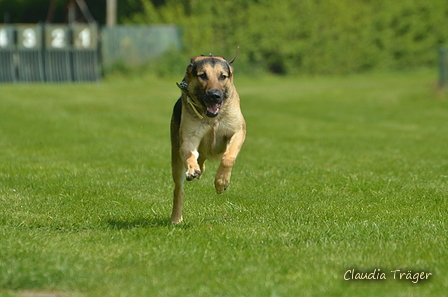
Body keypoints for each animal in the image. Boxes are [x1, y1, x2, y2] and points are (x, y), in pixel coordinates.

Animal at [170, 50, 245, 222]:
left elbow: (228, 157)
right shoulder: (189, 138)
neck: (213, 118)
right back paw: (176, 218)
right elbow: (189, 154)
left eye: (223, 76)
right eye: (202, 75)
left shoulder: (237, 131)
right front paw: (192, 170)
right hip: (176, 159)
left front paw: (221, 182)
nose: (214, 95)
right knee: (178, 189)